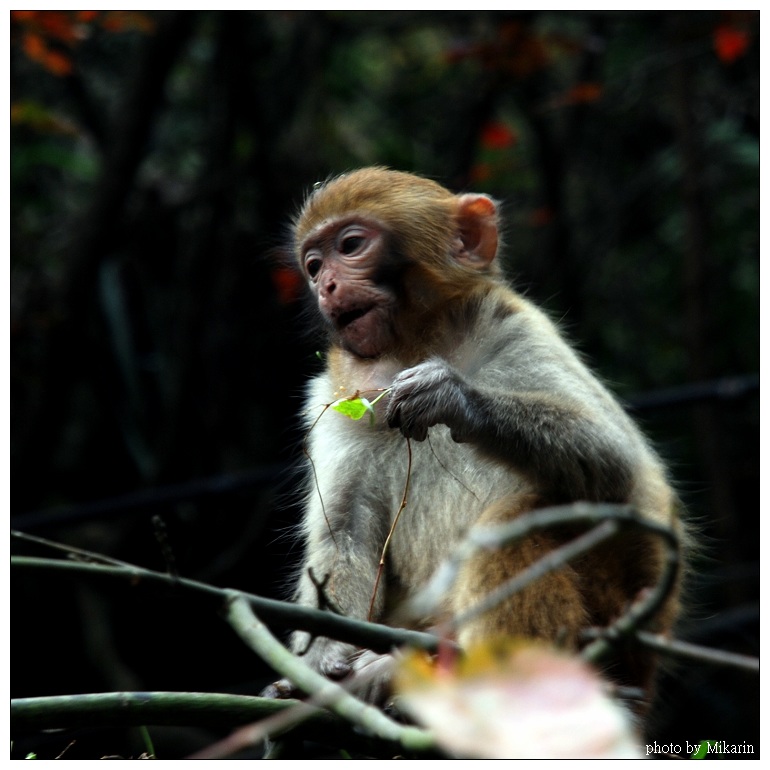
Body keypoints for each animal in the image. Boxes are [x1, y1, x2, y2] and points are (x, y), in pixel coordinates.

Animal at [262, 166, 680, 708]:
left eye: (350, 245)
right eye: (312, 266)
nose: (326, 285)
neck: (415, 344)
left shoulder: (517, 328)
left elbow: (616, 464)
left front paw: (450, 397)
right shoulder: (334, 399)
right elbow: (346, 530)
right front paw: (319, 657)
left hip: (621, 599)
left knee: (517, 524)